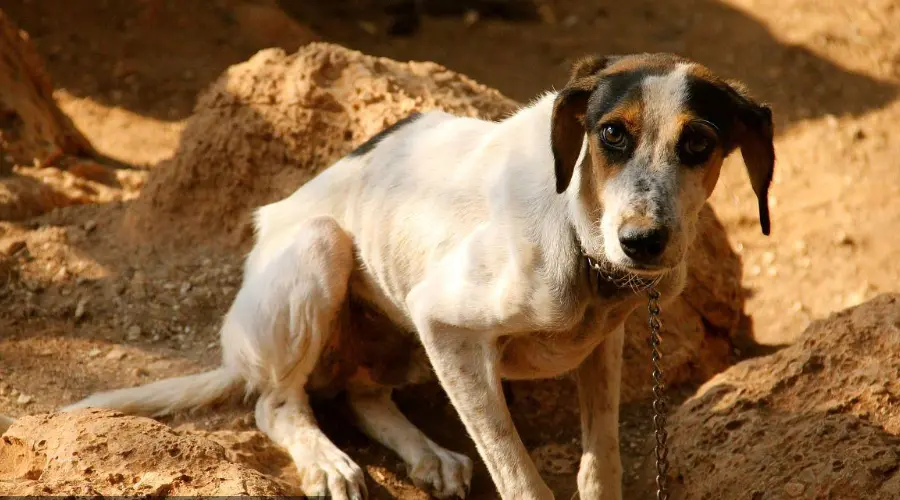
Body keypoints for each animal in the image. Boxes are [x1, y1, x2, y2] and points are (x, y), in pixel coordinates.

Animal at [1, 53, 772, 500]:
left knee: (361, 392)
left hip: (396, 330)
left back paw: (426, 454)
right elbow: (519, 473)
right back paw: (328, 463)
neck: (580, 236)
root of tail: (234, 351)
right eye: (611, 133)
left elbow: (600, 461)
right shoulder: (445, 321)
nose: (644, 244)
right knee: (276, 404)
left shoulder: (602, 344)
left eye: (699, 143)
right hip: (321, 257)